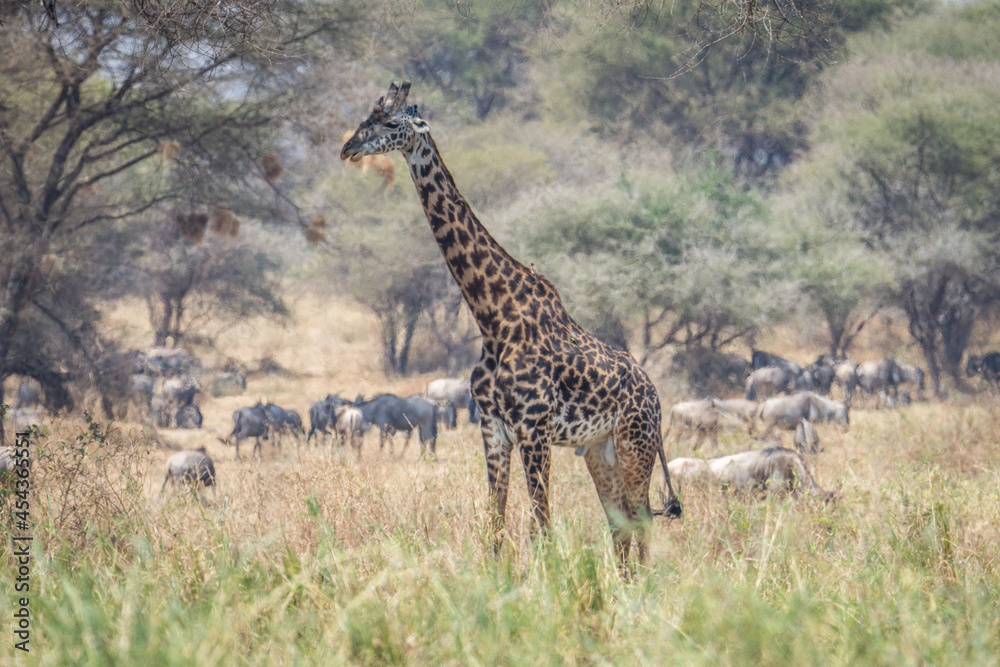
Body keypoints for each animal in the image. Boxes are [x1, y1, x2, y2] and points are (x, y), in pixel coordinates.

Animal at [341, 82, 682, 566]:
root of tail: (654, 394)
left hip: (636, 443)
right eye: (364, 119)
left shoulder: (534, 430)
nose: (348, 147)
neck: (493, 316)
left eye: (390, 122)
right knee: (621, 524)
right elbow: (496, 525)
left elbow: (541, 527)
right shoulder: (494, 428)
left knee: (644, 519)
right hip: (601, 451)